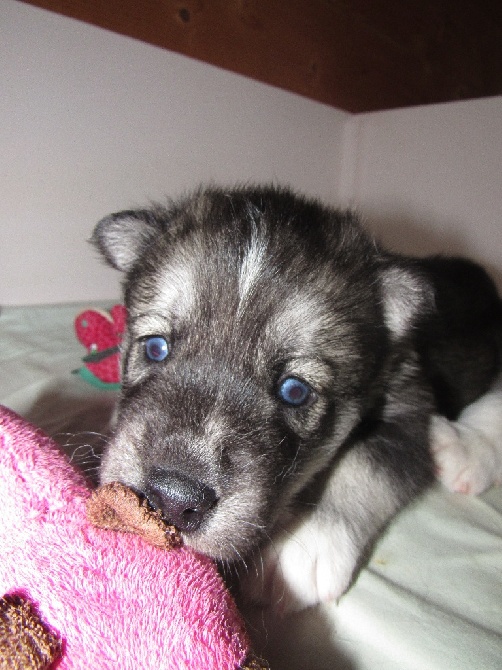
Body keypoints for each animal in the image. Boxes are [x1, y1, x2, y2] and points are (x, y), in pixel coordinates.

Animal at [91, 186, 502, 616]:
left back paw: (466, 450)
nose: (172, 500)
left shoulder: (409, 409)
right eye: (155, 347)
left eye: (295, 391)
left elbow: (363, 465)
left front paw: (307, 543)